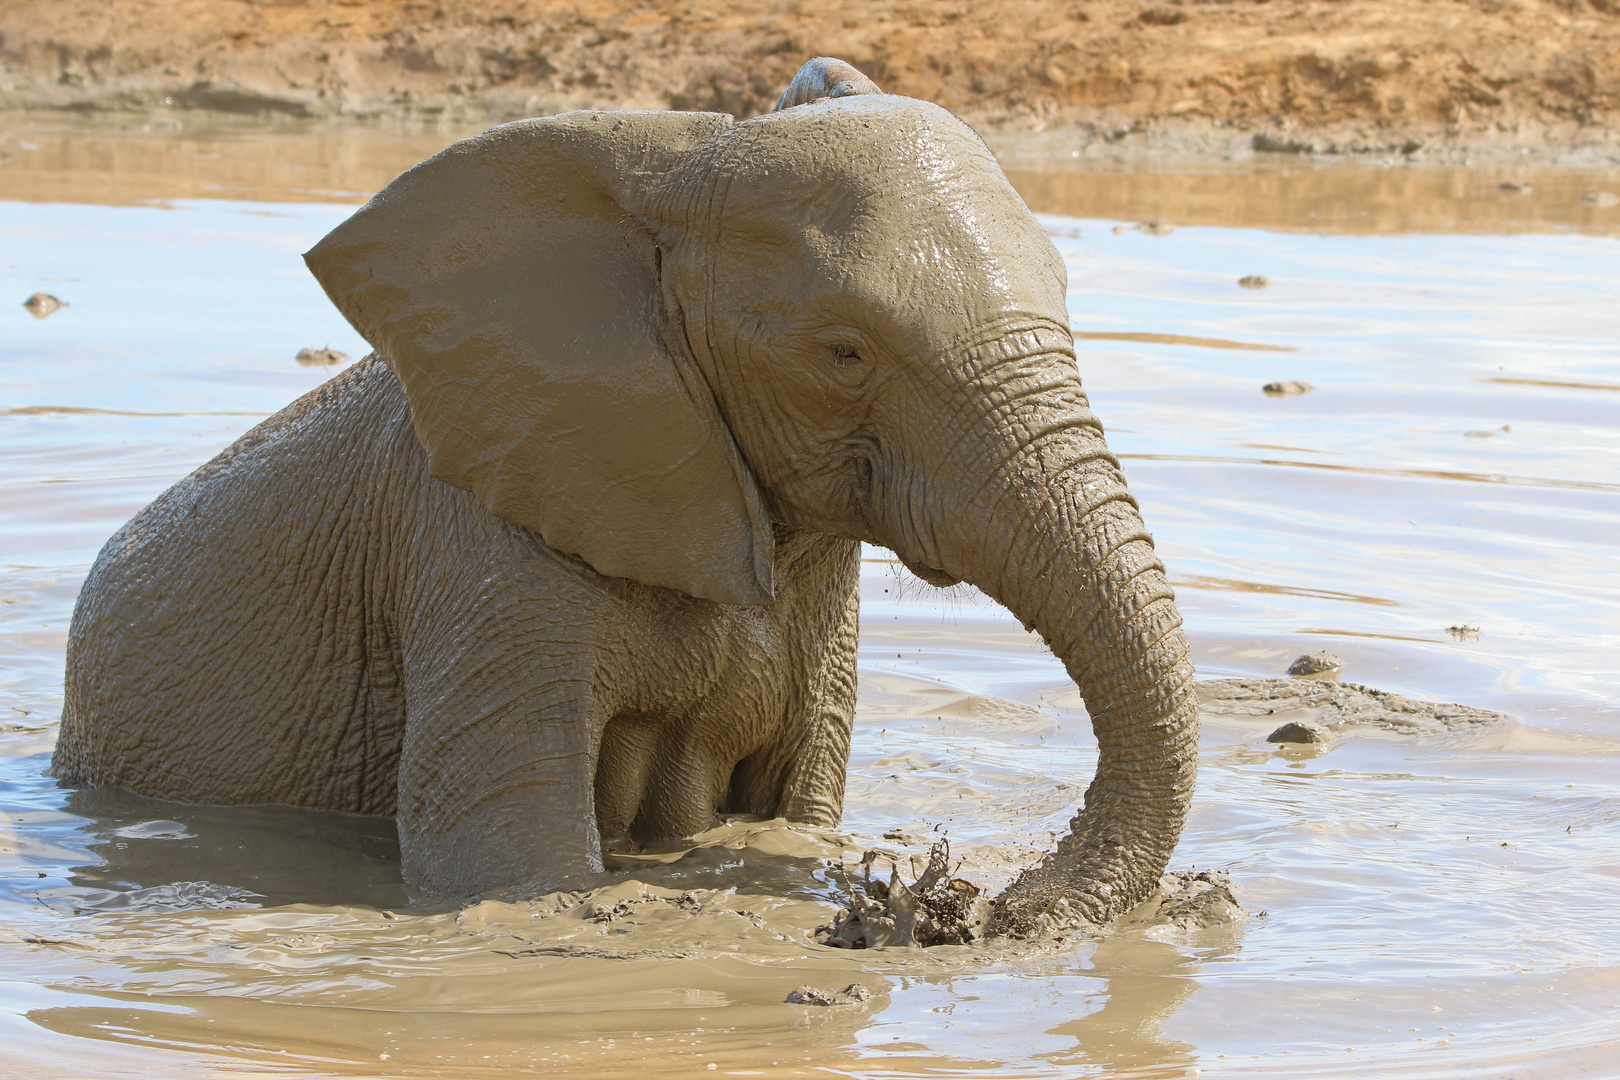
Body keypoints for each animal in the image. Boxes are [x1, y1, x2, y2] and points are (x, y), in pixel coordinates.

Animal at [50, 57, 1198, 932]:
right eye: (843, 351)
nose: (1000, 905)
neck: (664, 177)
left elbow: (797, 808)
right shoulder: (481, 547)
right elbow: (507, 858)